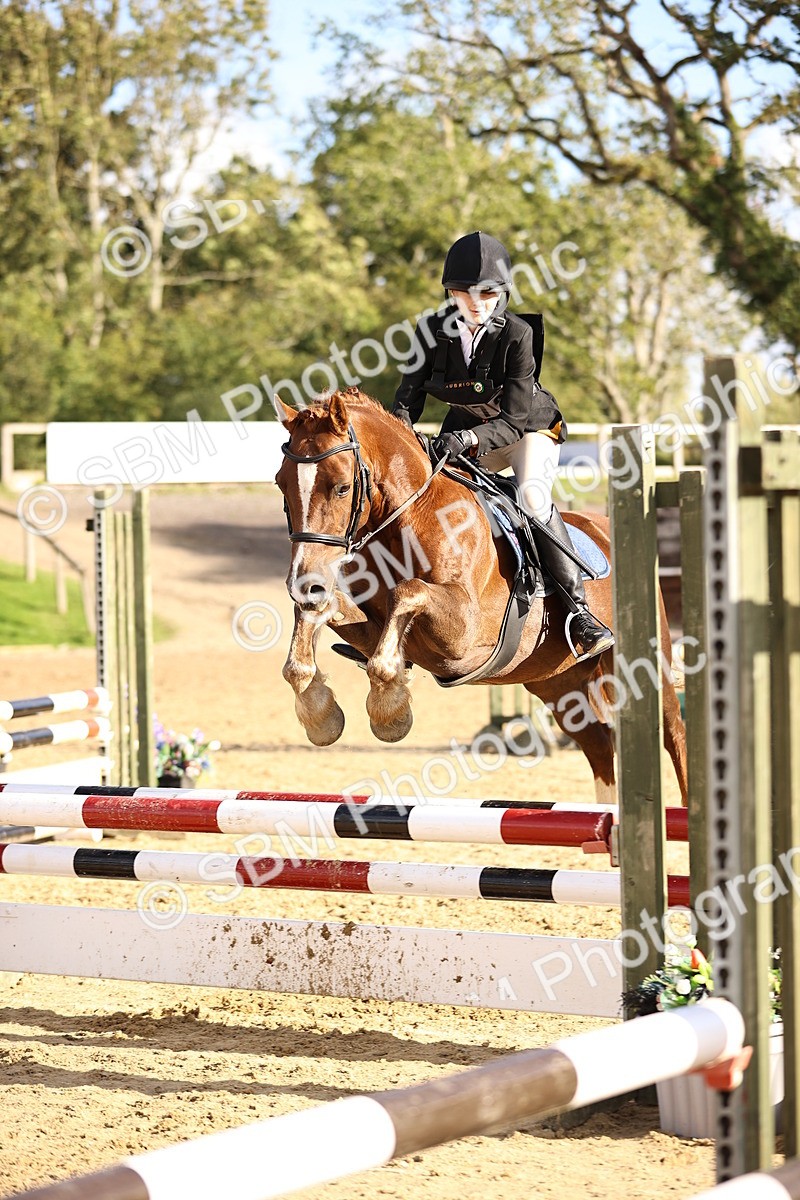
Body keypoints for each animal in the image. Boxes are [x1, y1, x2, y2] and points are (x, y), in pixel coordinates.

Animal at [273, 387, 687, 805]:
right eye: (280, 484)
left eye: (342, 486)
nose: (304, 581)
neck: (412, 517)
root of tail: (604, 528)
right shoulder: (376, 629)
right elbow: (318, 615)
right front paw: (320, 715)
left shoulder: (463, 635)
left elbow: (407, 594)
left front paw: (388, 712)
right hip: (560, 683)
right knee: (600, 744)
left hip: (647, 666)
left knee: (673, 732)